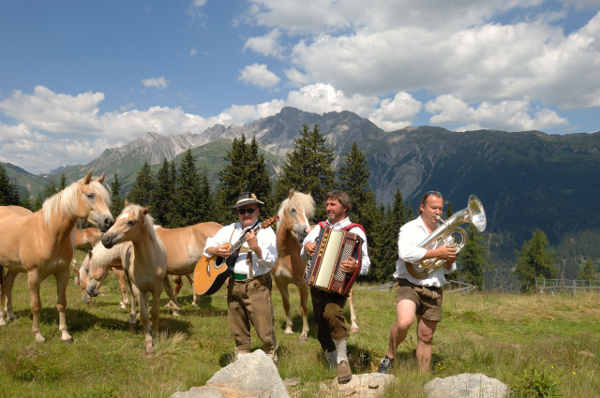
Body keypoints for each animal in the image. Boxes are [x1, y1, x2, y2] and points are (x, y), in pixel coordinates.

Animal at [0, 173, 112, 344]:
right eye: (90, 195)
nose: (109, 221)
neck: (47, 233)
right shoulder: (33, 276)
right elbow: (36, 305)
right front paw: (38, 334)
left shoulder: (62, 273)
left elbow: (61, 303)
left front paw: (65, 334)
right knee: (2, 288)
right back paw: (2, 320)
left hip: (14, 267)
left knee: (7, 285)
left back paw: (11, 315)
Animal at [91, 204, 166, 352]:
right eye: (117, 219)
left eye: (131, 222)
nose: (105, 240)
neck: (149, 261)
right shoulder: (139, 288)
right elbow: (143, 315)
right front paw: (149, 343)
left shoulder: (157, 289)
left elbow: (155, 313)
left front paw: (156, 336)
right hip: (131, 282)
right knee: (133, 299)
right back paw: (132, 320)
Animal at [274, 188, 316, 340]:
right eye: (293, 210)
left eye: (307, 213)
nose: (306, 231)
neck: (285, 254)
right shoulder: (280, 282)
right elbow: (286, 304)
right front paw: (288, 329)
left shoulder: (302, 284)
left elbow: (303, 307)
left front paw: (304, 333)